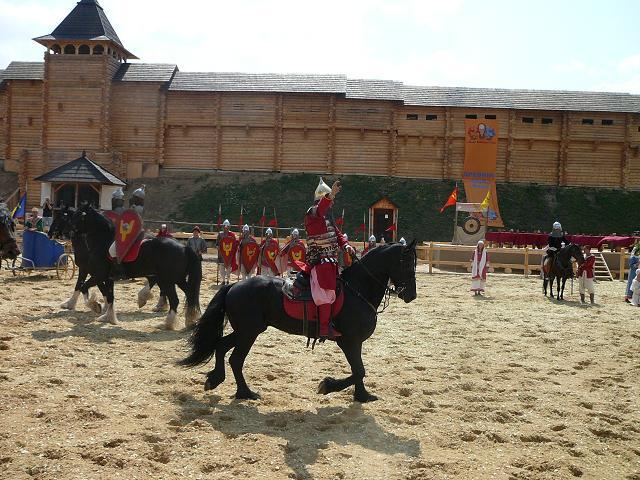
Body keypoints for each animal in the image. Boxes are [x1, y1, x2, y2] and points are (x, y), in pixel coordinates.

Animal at [72, 204, 202, 328]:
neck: (103, 241)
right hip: (179, 279)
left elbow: (83, 287)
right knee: (190, 294)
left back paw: (167, 324)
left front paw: (95, 306)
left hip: (168, 281)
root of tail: (184, 247)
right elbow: (110, 297)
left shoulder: (99, 275)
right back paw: (190, 321)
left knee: (175, 300)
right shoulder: (108, 278)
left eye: (79, 215)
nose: (71, 233)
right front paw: (109, 317)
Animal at [181, 242, 420, 404]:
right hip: (248, 333)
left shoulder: (355, 343)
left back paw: (216, 379)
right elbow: (359, 370)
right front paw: (328, 385)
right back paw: (245, 392)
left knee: (221, 347)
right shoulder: (349, 342)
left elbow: (358, 370)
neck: (357, 290)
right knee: (236, 360)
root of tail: (234, 286)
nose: (412, 295)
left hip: (245, 331)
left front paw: (362, 396)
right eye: (408, 265)